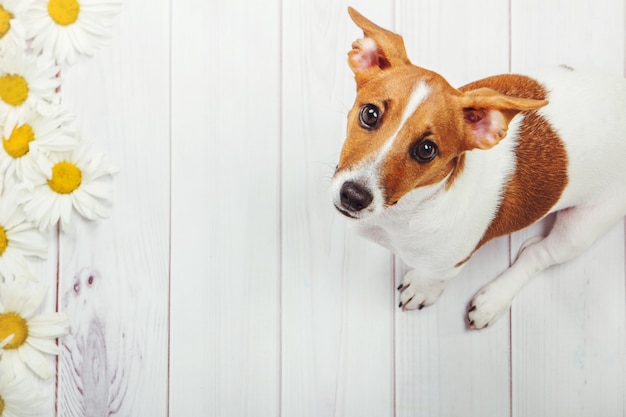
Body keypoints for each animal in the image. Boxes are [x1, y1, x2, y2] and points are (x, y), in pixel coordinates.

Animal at [330, 7, 624, 328]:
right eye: (370, 114)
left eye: (426, 150)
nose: (353, 196)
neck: (409, 209)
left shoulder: (447, 265)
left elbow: (433, 280)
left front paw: (421, 290)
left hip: (584, 228)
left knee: (540, 254)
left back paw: (494, 299)